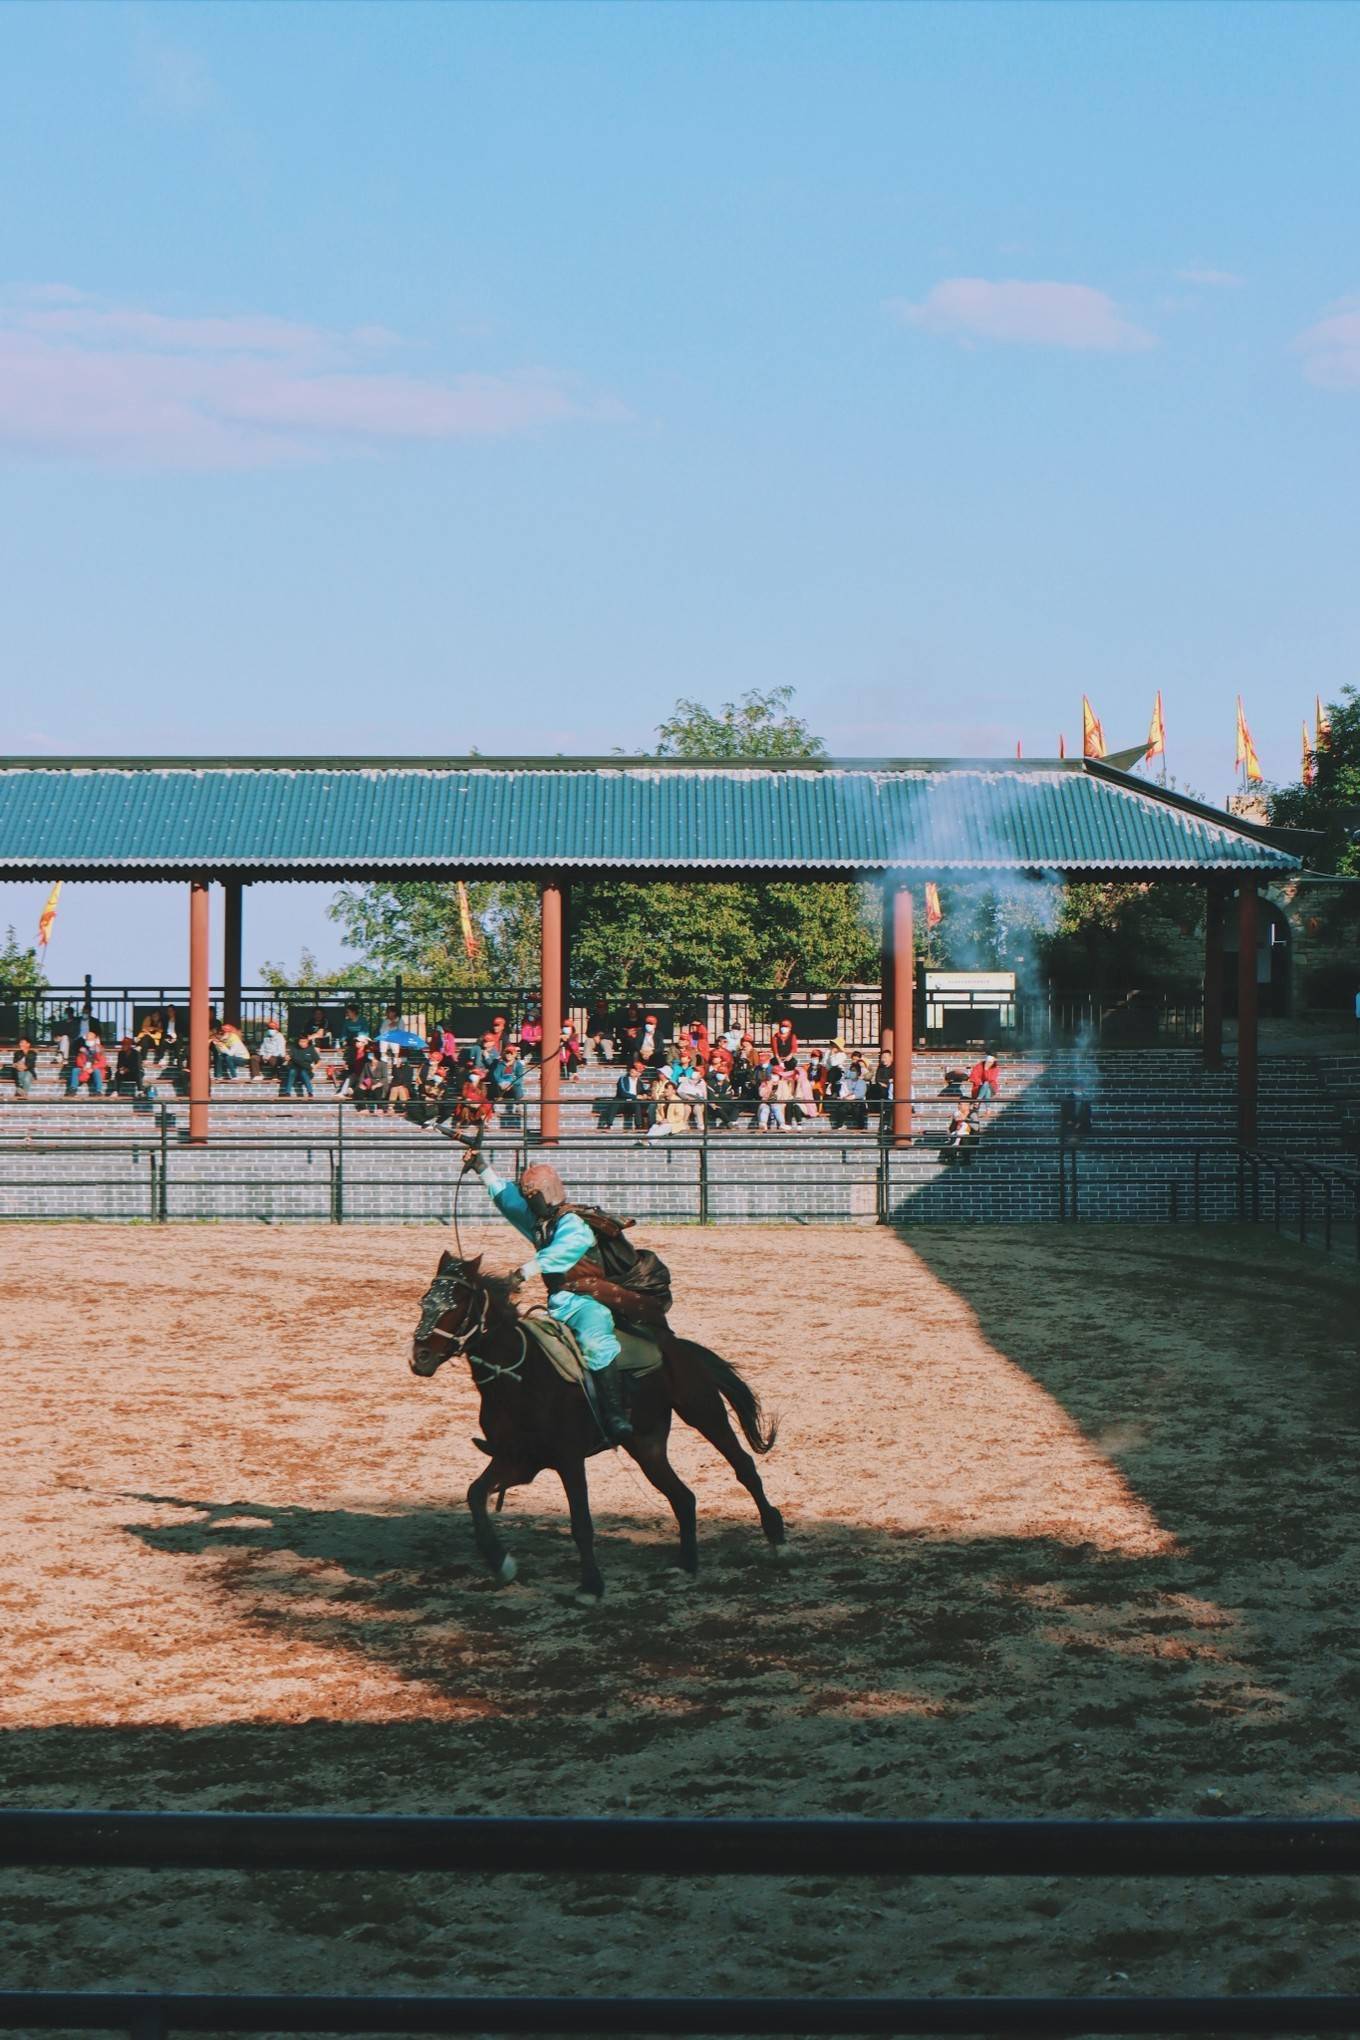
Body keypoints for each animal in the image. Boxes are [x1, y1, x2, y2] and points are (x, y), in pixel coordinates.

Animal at [409, 1248, 782, 1599]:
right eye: (424, 1302)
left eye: (456, 1305)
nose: (420, 1358)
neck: (521, 1375)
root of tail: (677, 1345)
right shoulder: (517, 1461)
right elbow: (475, 1494)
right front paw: (500, 1562)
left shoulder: (569, 1460)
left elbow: (581, 1523)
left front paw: (591, 1585)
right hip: (646, 1446)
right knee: (683, 1497)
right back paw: (687, 1564)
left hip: (704, 1412)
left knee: (743, 1466)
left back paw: (775, 1532)